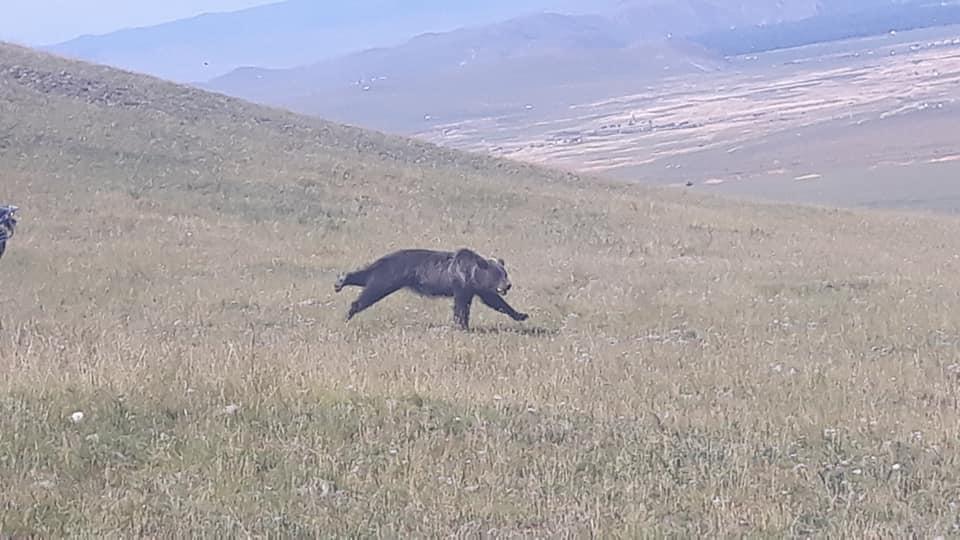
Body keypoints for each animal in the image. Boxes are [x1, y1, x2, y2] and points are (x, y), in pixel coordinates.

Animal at [336, 248, 532, 330]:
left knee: (366, 278)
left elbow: (494, 301)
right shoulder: (460, 284)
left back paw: (341, 280)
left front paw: (521, 315)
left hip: (387, 272)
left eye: (505, 273)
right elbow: (461, 306)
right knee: (371, 291)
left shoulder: (476, 288)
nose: (508, 285)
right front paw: (461, 325)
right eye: (498, 274)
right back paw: (349, 310)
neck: (472, 273)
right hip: (391, 275)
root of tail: (386, 257)